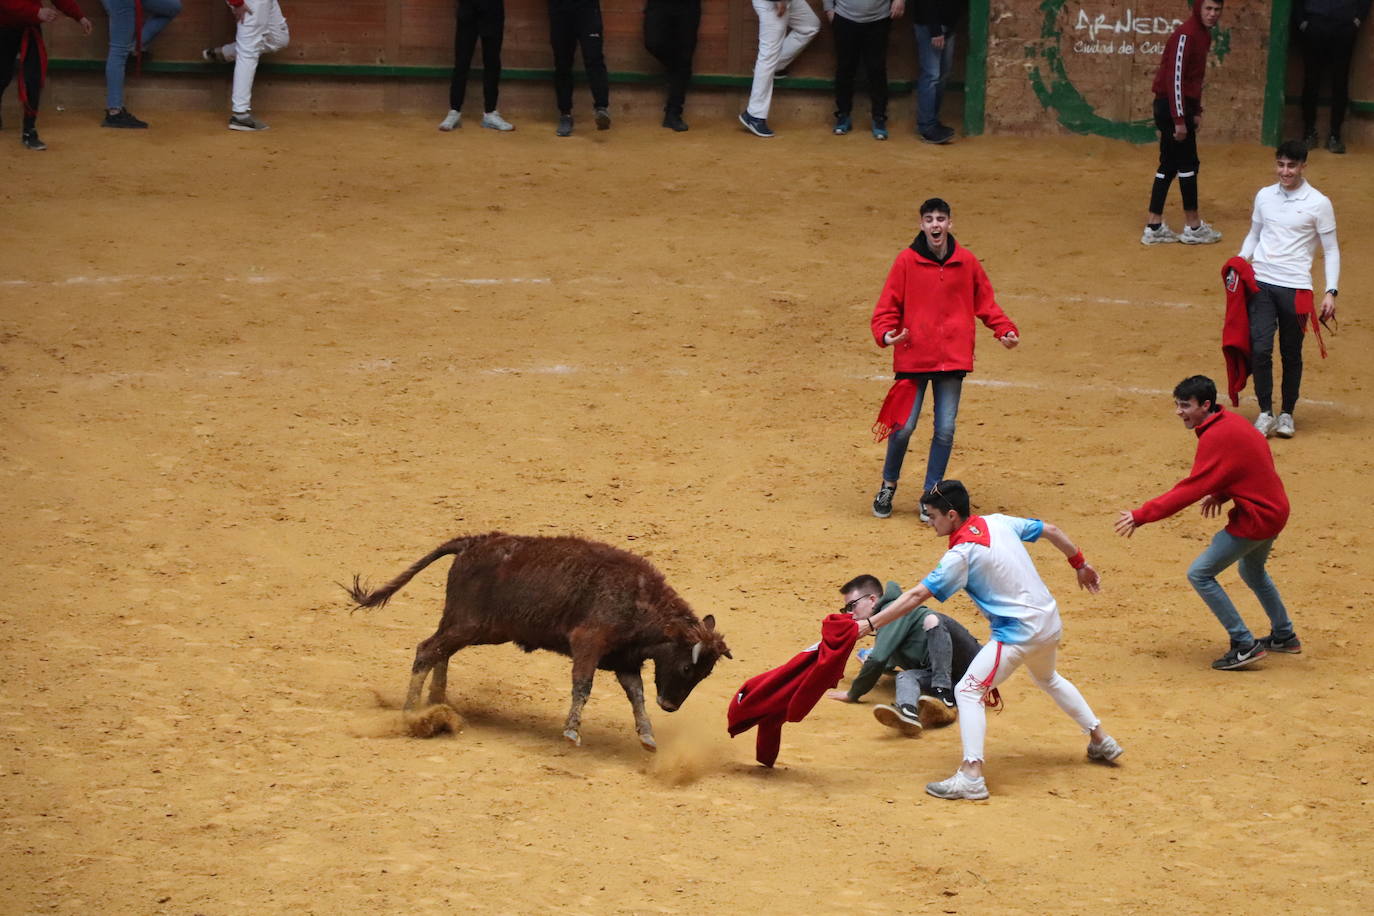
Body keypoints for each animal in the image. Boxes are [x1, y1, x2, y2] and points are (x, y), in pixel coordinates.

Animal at [343, 532, 730, 747]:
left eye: (705, 674)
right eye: (687, 668)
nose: (670, 705)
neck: (640, 600)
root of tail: (474, 541)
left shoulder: (625, 661)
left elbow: (636, 697)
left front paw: (647, 737)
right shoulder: (588, 644)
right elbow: (583, 686)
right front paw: (572, 732)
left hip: (476, 628)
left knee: (441, 652)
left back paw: (438, 704)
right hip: (469, 625)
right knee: (427, 650)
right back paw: (413, 715)